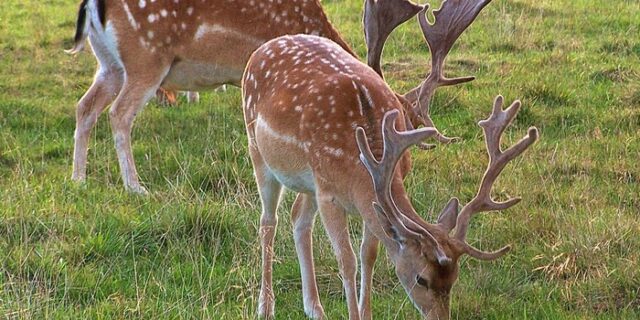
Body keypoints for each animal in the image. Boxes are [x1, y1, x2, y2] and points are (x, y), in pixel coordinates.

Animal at [66, 0, 356, 192]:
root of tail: (92, 5)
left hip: (110, 65)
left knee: (85, 107)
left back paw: (79, 179)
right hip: (145, 59)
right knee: (119, 113)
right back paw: (135, 187)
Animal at [242, 10, 536, 320]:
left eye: (455, 278)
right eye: (422, 279)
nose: (441, 317)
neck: (360, 163)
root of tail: (264, 47)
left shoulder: (360, 197)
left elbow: (368, 254)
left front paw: (366, 313)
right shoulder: (328, 195)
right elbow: (346, 260)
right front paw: (353, 313)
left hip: (307, 180)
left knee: (298, 216)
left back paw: (314, 308)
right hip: (257, 149)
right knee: (268, 221)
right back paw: (265, 306)